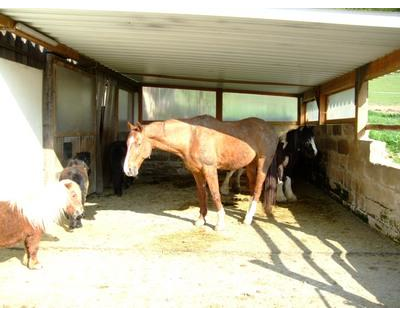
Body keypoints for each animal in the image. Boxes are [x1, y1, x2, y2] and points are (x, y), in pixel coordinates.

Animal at [123, 115, 280, 231]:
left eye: (138, 143)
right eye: (127, 144)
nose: (128, 170)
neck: (191, 138)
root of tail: (270, 129)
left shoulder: (210, 170)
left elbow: (215, 194)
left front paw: (219, 224)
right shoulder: (197, 172)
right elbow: (202, 194)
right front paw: (201, 220)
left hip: (263, 163)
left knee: (258, 189)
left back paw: (248, 219)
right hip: (250, 166)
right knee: (253, 189)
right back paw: (248, 215)